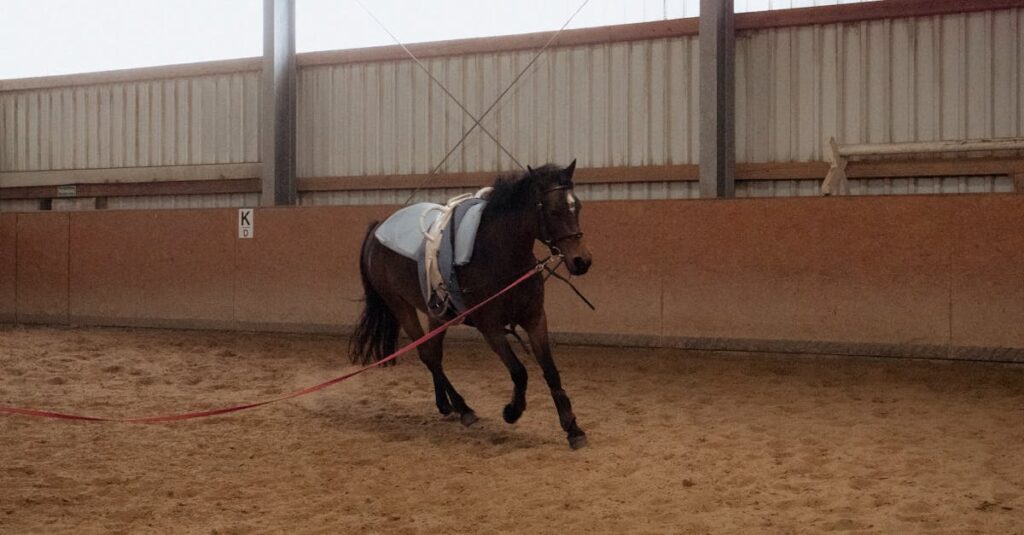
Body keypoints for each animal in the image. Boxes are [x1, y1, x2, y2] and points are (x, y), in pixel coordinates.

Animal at [350, 160, 593, 449]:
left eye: (577, 207)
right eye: (554, 210)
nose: (581, 261)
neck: (500, 255)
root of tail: (378, 229)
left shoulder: (535, 319)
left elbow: (551, 371)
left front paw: (573, 428)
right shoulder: (490, 327)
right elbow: (519, 371)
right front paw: (512, 412)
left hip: (437, 313)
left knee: (434, 355)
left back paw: (448, 405)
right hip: (400, 306)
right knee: (428, 356)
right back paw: (463, 408)